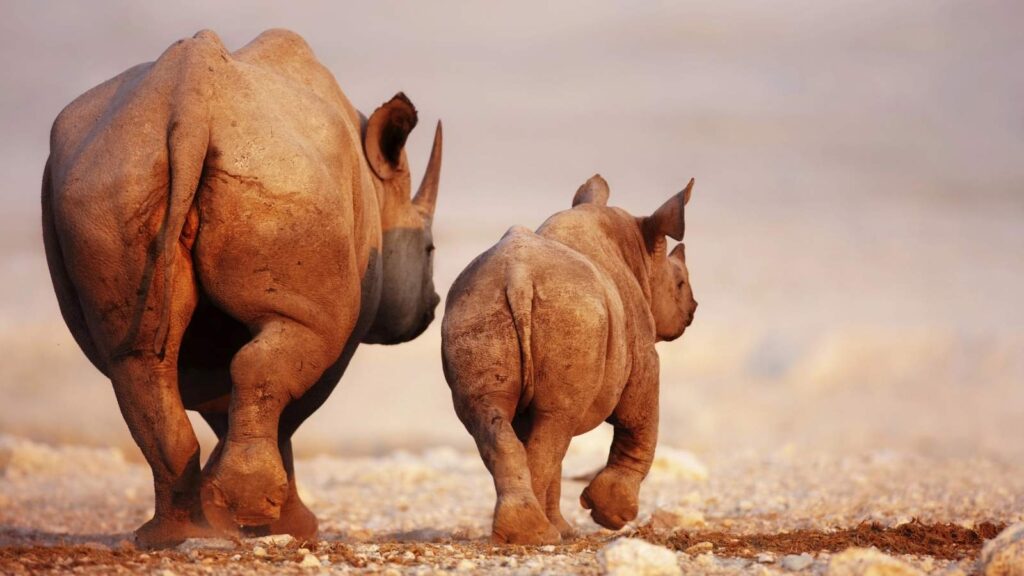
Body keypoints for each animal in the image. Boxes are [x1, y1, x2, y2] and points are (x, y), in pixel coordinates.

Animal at [41, 29, 442, 547]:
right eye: (429, 250)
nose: (431, 307)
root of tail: (190, 102)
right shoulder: (342, 319)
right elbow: (291, 407)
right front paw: (284, 525)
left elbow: (223, 400)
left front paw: (227, 510)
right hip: (280, 174)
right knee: (273, 355)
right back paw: (240, 518)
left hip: (108, 176)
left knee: (136, 362)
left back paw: (171, 534)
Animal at [441, 175, 696, 544]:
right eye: (679, 283)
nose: (693, 308)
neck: (639, 255)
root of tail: (517, 277)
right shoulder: (643, 352)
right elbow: (639, 422)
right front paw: (611, 515)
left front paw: (566, 529)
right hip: (571, 314)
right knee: (555, 423)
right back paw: (538, 535)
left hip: (476, 308)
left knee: (498, 418)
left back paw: (528, 533)